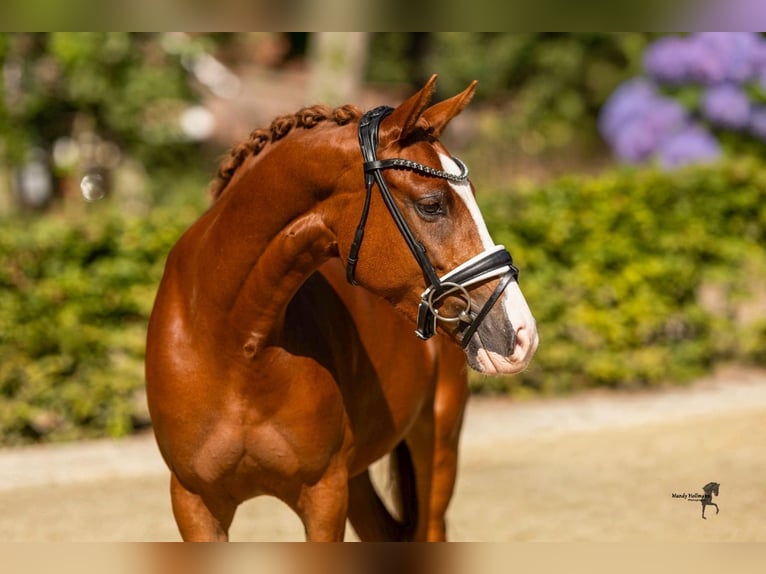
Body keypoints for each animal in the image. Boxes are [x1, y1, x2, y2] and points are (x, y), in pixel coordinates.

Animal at [145, 74, 538, 542]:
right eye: (432, 205)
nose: (522, 334)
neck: (232, 341)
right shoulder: (195, 503)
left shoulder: (324, 495)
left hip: (438, 443)